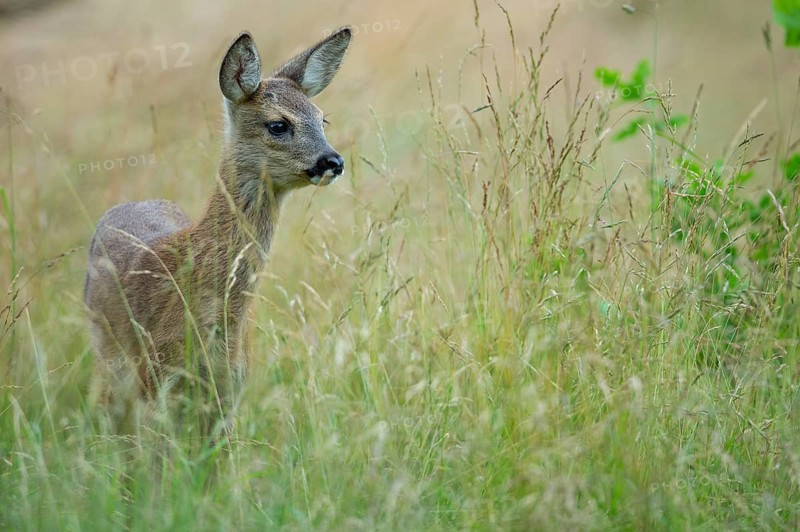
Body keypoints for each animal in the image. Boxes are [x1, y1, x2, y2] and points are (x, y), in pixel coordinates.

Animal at [83, 28, 352, 440]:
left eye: (323, 120)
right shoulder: (154, 381)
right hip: (111, 362)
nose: (333, 161)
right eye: (278, 124)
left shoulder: (230, 387)